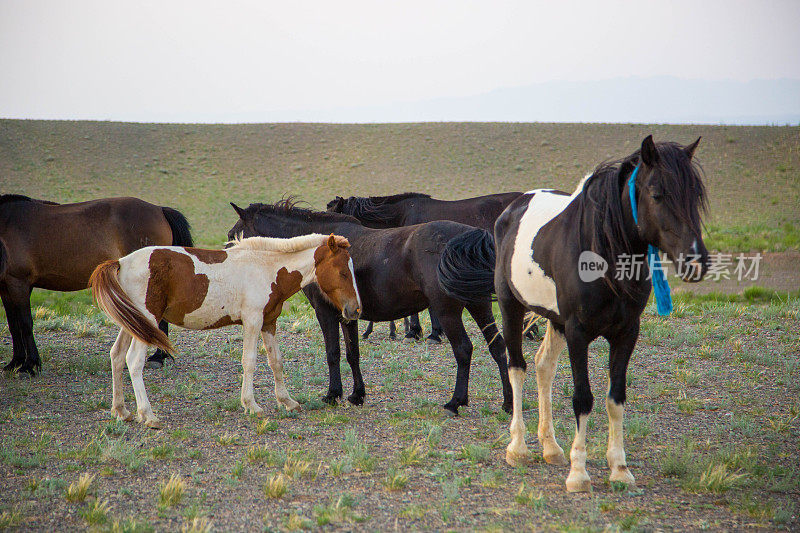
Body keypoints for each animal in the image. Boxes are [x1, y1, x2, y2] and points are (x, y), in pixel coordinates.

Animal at [0, 193, 193, 372]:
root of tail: (159, 210)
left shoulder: (19, 282)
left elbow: (25, 324)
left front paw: (29, 365)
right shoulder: (5, 287)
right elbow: (13, 325)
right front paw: (15, 362)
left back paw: (158, 357)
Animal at [89, 233, 360, 428]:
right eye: (342, 273)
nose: (355, 310)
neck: (266, 268)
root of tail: (121, 263)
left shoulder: (269, 323)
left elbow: (276, 362)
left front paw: (287, 401)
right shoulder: (252, 321)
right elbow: (249, 361)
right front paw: (251, 404)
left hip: (133, 323)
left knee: (116, 356)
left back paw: (121, 410)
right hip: (148, 320)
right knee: (133, 360)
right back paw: (148, 415)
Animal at [440, 136, 708, 490]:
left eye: (696, 195)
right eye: (657, 193)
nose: (697, 262)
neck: (602, 252)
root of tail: (512, 209)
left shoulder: (627, 332)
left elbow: (615, 397)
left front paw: (619, 469)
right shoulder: (578, 331)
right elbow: (583, 398)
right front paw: (578, 473)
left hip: (555, 320)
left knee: (543, 367)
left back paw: (551, 447)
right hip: (512, 309)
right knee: (517, 368)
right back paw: (518, 448)